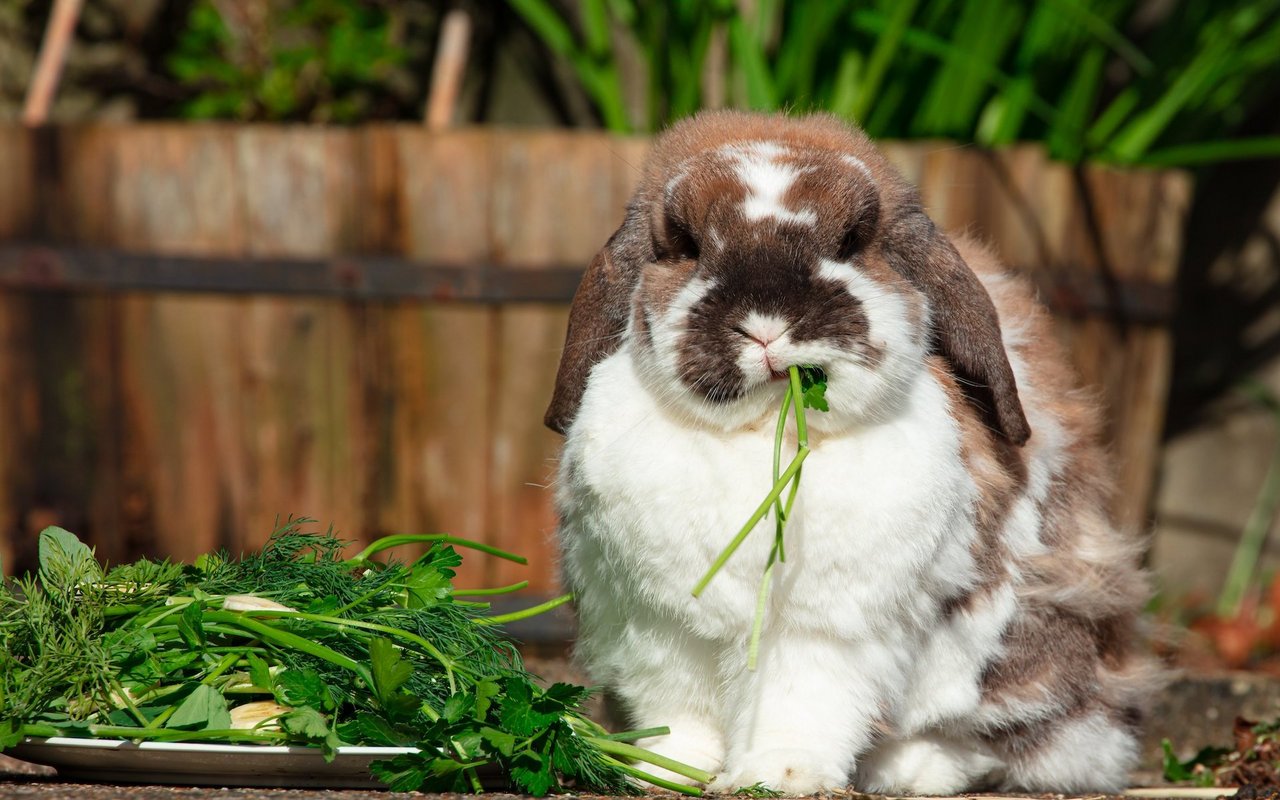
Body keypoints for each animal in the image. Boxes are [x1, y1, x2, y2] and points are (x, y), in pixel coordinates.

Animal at [542, 110, 1162, 793]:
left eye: (851, 240)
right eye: (684, 243)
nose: (766, 322)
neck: (765, 438)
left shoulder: (820, 632)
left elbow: (797, 705)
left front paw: (776, 776)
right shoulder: (659, 627)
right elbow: (679, 712)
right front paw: (664, 768)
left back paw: (914, 770)